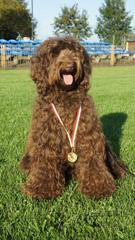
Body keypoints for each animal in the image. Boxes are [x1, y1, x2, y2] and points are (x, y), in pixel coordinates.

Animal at [20, 37, 125, 199]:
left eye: (74, 51)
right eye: (55, 52)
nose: (69, 66)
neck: (65, 96)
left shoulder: (88, 137)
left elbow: (92, 162)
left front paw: (98, 187)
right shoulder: (46, 139)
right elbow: (45, 163)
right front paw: (41, 189)